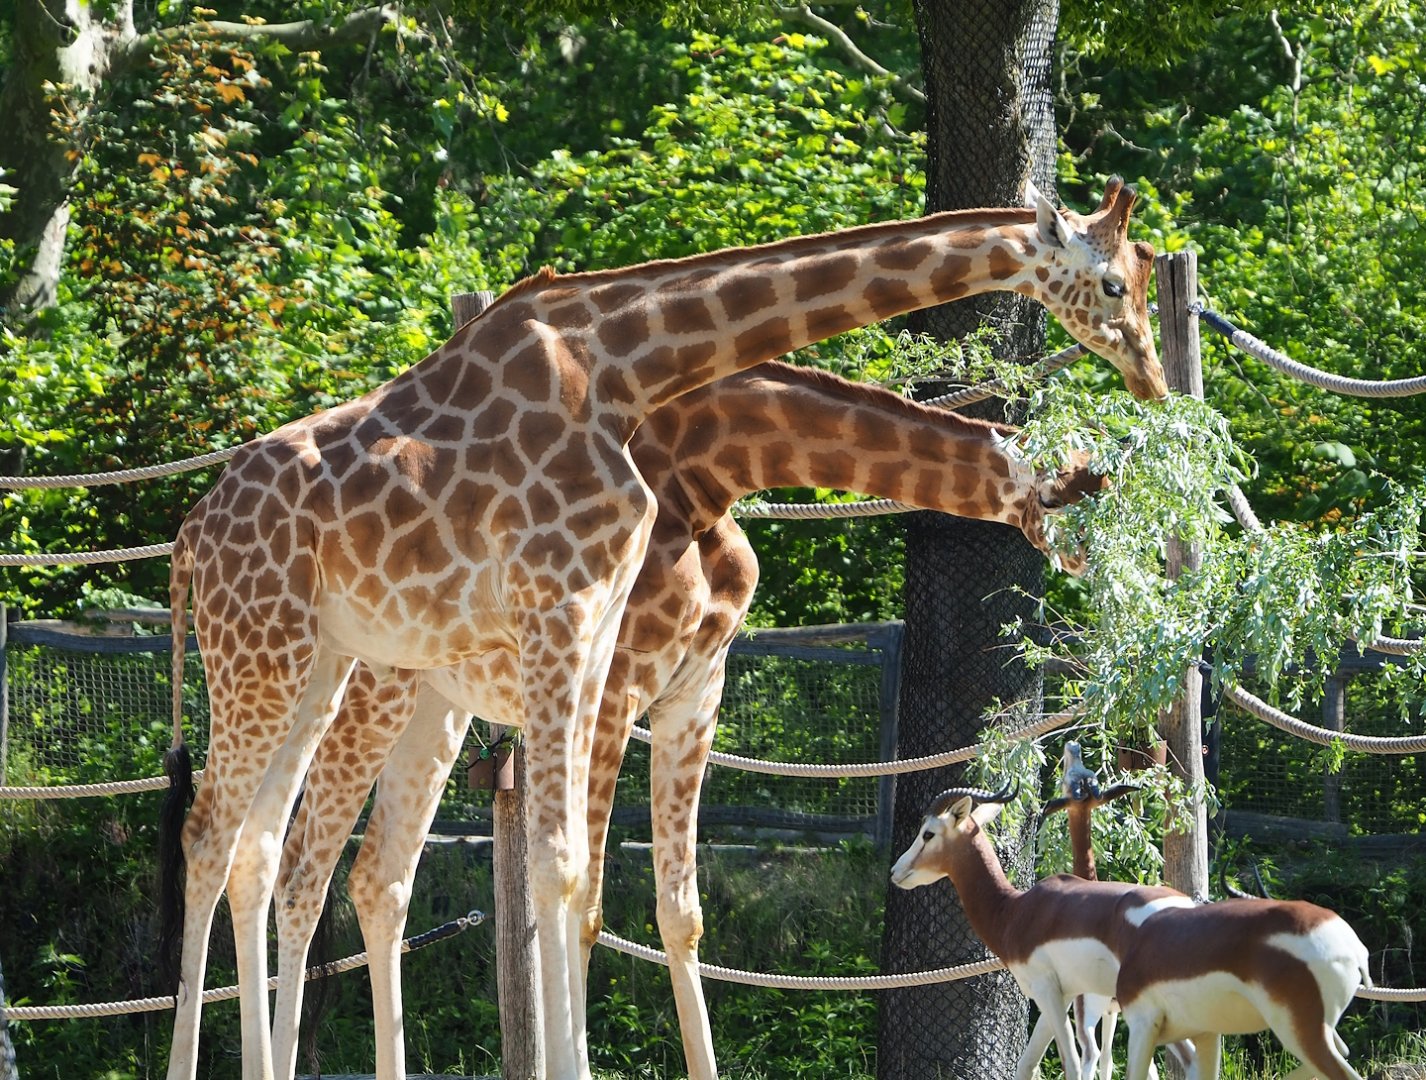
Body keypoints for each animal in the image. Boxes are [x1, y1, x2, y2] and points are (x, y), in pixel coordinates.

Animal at [267, 359, 1110, 1080]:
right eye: (1072, 501)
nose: (1094, 572)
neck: (704, 478)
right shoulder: (613, 688)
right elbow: (587, 902)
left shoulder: (695, 693)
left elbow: (681, 913)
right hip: (366, 689)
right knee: (300, 864)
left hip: (436, 707)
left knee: (378, 877)